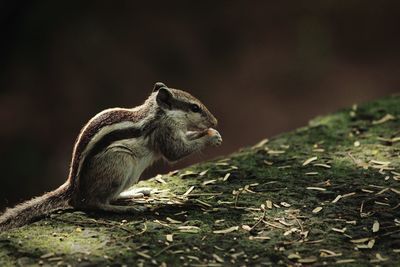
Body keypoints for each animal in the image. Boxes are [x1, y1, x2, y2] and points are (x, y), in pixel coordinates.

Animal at [0, 83, 222, 232]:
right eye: (195, 108)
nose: (215, 121)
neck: (157, 113)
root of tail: (74, 188)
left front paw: (212, 133)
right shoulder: (165, 132)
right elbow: (176, 152)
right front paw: (211, 137)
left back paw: (133, 194)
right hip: (121, 162)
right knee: (92, 203)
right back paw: (126, 209)